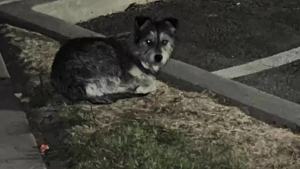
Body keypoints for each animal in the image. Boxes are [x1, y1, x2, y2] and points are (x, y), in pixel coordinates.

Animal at [50, 15, 179, 104]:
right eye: (148, 41)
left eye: (164, 42)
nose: (159, 57)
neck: (137, 51)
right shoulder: (126, 76)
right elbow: (152, 81)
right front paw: (141, 87)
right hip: (107, 57)